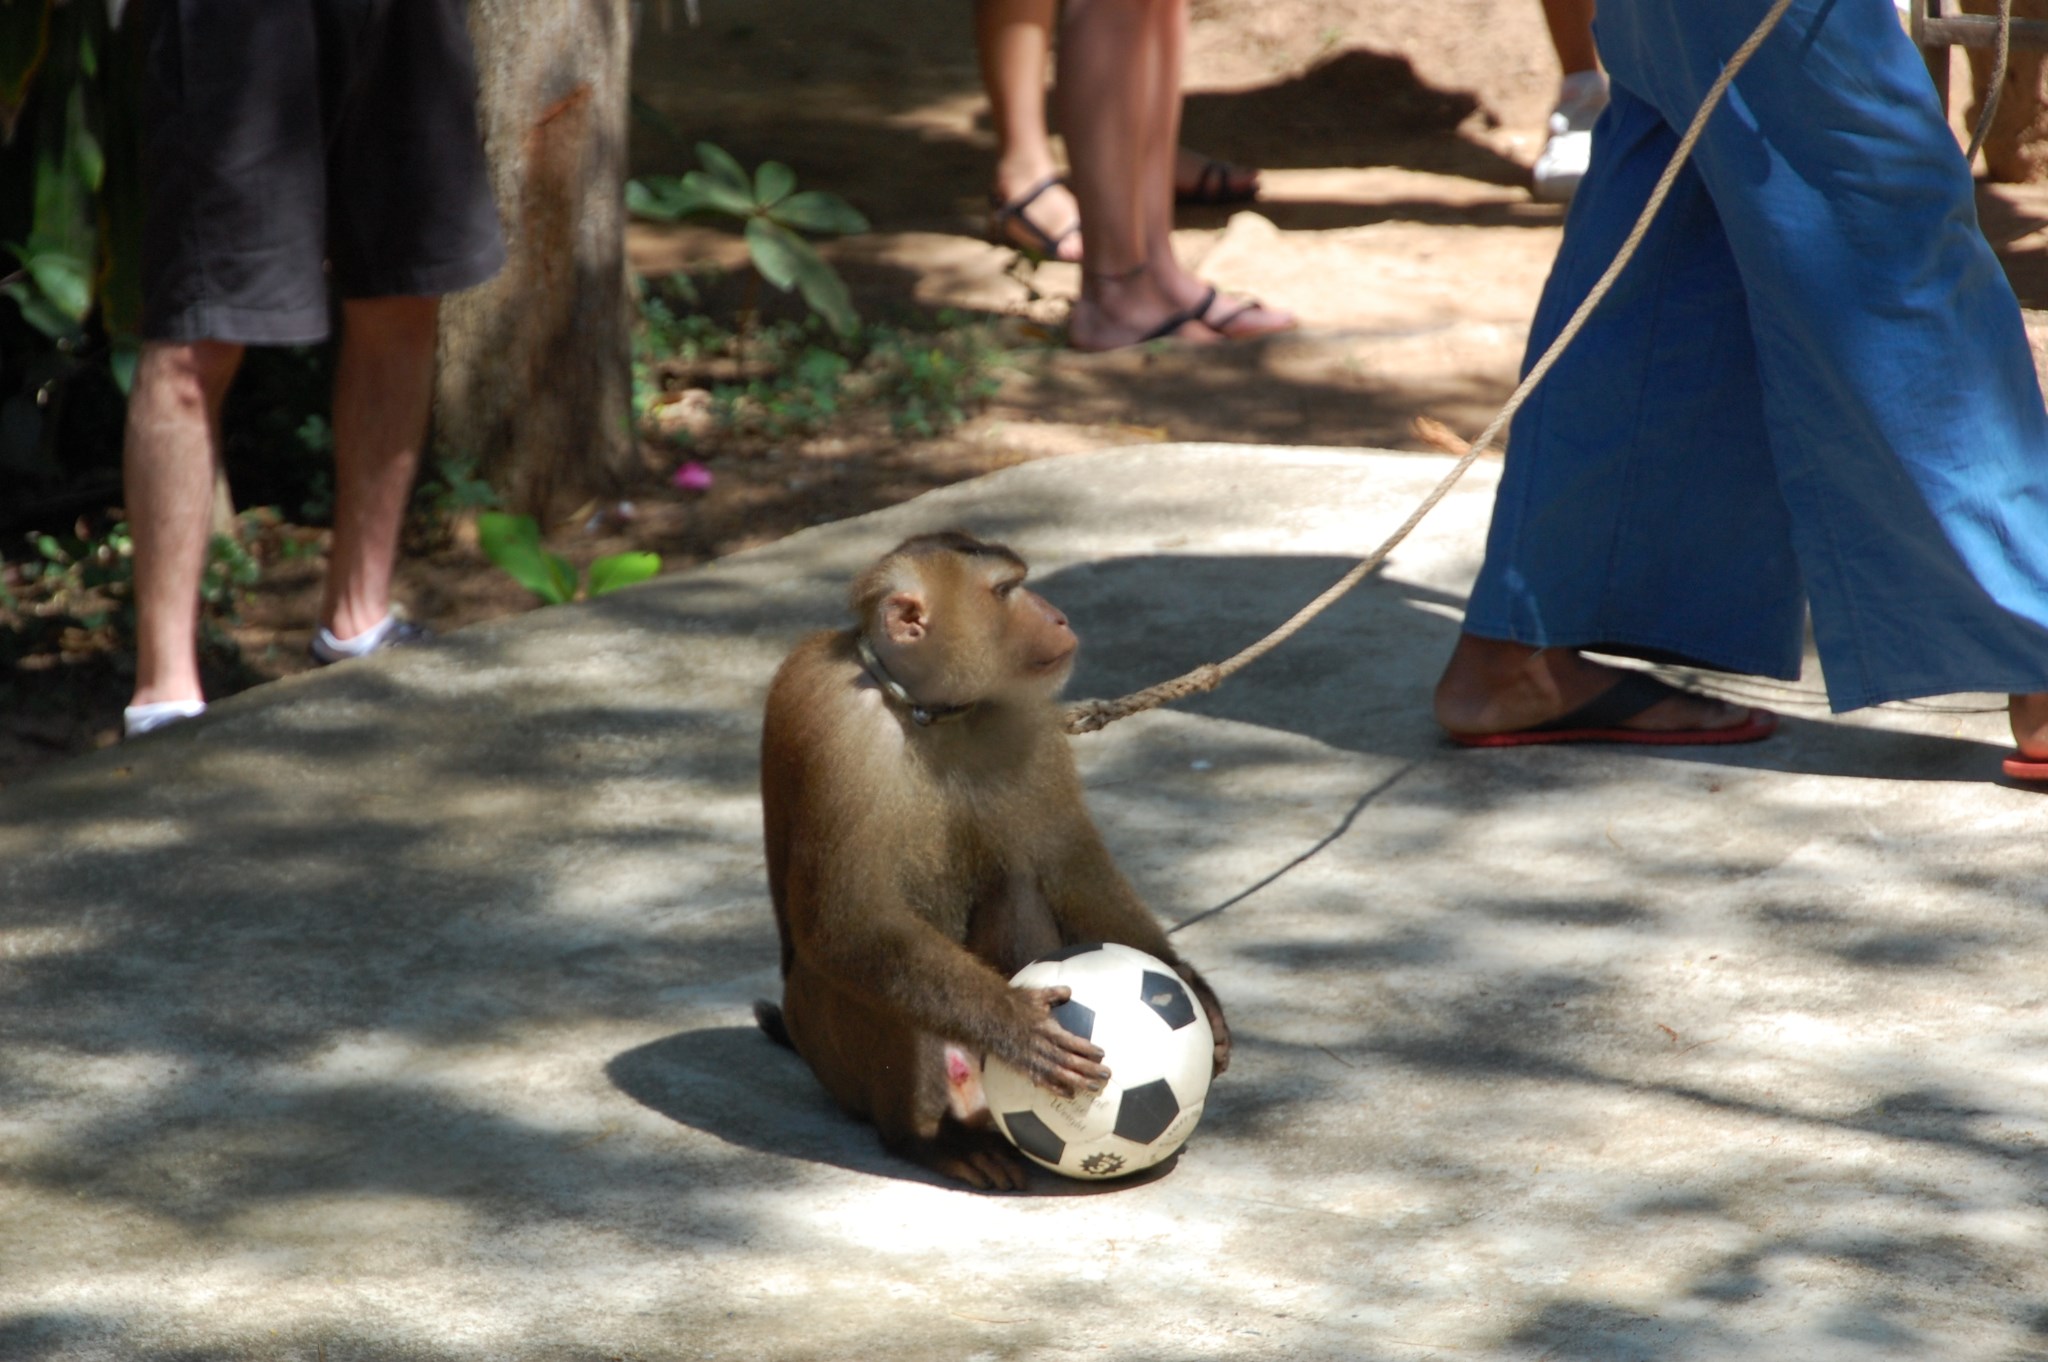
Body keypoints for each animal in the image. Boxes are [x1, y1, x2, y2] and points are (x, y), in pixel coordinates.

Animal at [757, 524, 1220, 1187]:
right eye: (1005, 591)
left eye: (1020, 583)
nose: (1058, 616)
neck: (926, 711)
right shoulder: (831, 714)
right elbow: (848, 920)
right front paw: (1017, 1025)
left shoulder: (1026, 716)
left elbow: (1068, 863)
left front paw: (1189, 983)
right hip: (829, 1048)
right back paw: (930, 1139)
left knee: (1017, 883)